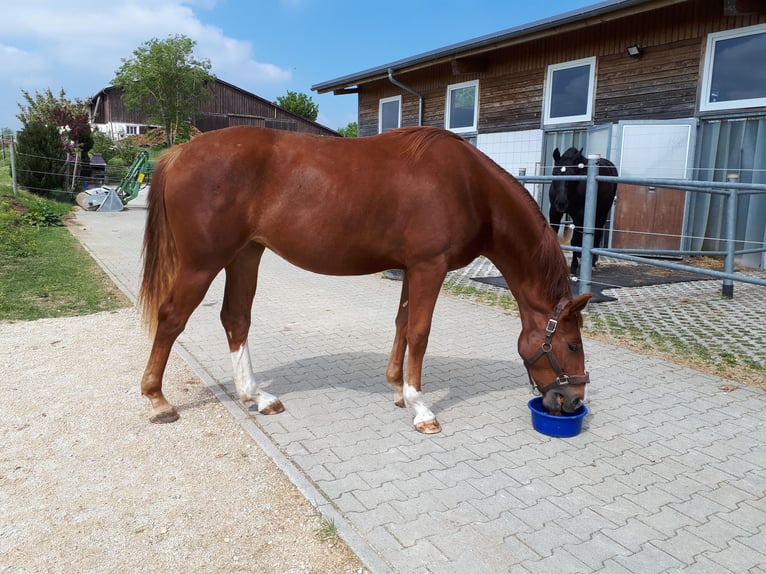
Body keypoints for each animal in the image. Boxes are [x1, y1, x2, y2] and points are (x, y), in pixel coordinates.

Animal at [140, 125, 592, 432]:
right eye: (572, 344)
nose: (572, 401)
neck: (470, 186)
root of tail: (179, 151)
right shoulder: (430, 267)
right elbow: (420, 332)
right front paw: (421, 408)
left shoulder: (412, 268)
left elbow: (403, 324)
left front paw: (396, 390)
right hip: (202, 263)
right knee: (172, 318)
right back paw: (158, 400)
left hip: (245, 255)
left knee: (236, 319)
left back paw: (256, 396)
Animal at [552, 147, 616, 276]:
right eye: (554, 173)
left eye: (572, 175)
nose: (561, 203)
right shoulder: (554, 211)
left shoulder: (579, 215)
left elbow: (575, 241)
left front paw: (573, 267)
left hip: (602, 212)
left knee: (597, 233)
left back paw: (592, 262)